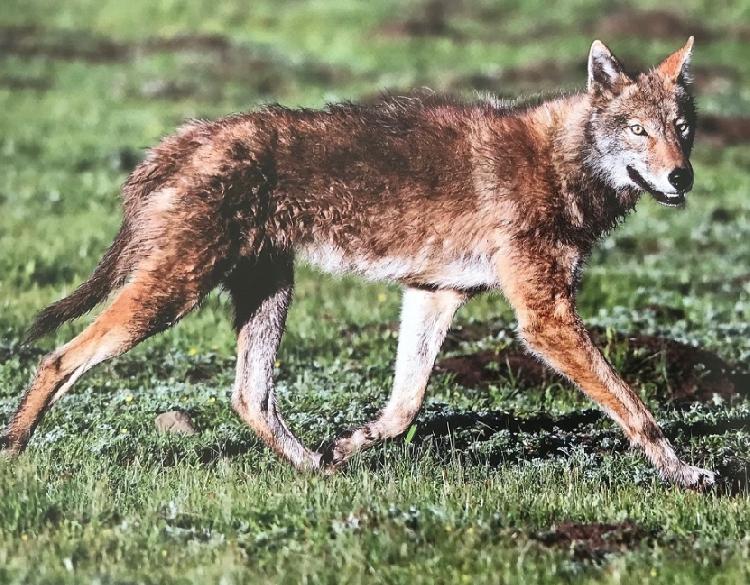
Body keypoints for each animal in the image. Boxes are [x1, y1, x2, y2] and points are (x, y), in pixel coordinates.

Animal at [1, 37, 716, 488]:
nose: (681, 177)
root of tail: (184, 137)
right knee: (58, 358)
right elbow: (635, 408)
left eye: (682, 128)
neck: (565, 163)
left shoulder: (433, 294)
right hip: (170, 297)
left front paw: (349, 444)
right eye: (639, 131)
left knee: (249, 398)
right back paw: (12, 450)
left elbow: (403, 407)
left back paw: (316, 468)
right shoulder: (542, 318)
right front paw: (684, 474)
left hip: (264, 297)